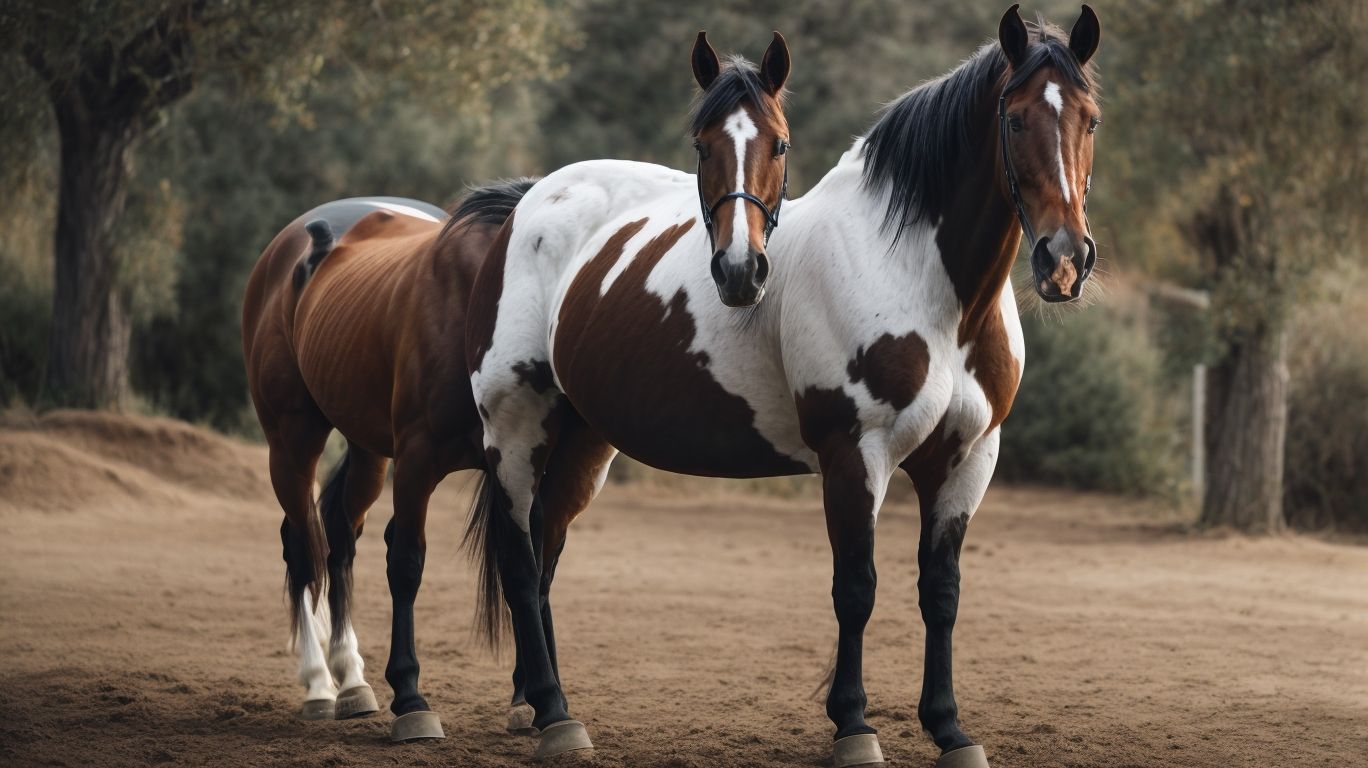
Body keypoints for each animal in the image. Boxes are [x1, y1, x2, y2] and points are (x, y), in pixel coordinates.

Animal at [239, 30, 794, 746]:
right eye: (702, 147)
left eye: (779, 145)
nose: (739, 269)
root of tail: (297, 243)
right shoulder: (424, 456)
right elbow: (410, 559)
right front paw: (414, 697)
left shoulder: (561, 464)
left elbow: (536, 562)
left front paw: (536, 698)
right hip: (294, 436)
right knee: (302, 540)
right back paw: (317, 684)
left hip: (366, 449)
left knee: (339, 531)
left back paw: (353, 680)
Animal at [464, 5, 1101, 767]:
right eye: (1014, 118)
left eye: (1091, 120)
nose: (1064, 260)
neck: (929, 288)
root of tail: (529, 202)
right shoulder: (856, 454)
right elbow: (856, 588)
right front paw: (853, 726)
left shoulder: (967, 460)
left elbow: (941, 592)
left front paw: (949, 728)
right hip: (515, 430)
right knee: (521, 563)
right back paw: (554, 713)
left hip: (582, 441)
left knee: (545, 555)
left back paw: (543, 706)